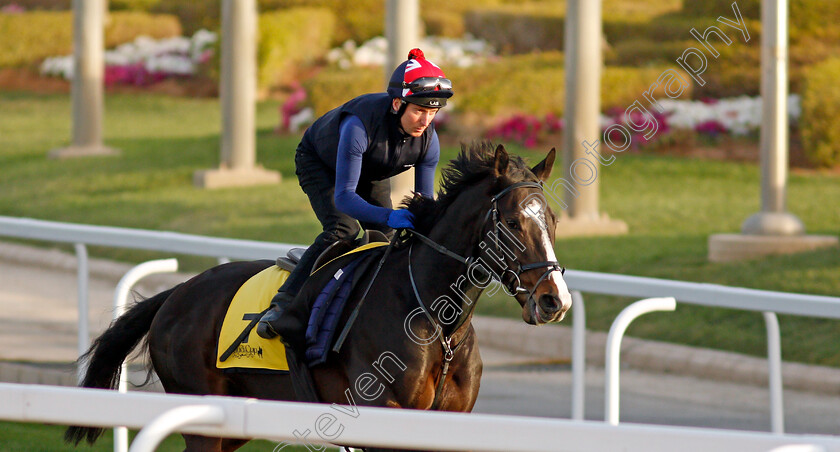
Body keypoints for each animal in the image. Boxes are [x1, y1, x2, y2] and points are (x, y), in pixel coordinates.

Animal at [64, 142, 572, 452]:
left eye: (551, 218)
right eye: (511, 222)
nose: (555, 300)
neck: (436, 319)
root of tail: (177, 293)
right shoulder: (383, 416)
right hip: (201, 413)